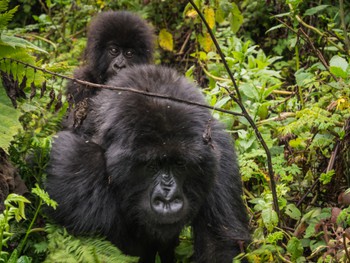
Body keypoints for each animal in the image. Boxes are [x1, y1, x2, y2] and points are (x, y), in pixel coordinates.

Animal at [46, 65, 250, 262]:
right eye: (152, 165)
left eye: (180, 164)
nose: (167, 200)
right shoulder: (72, 158)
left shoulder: (220, 154)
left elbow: (219, 244)